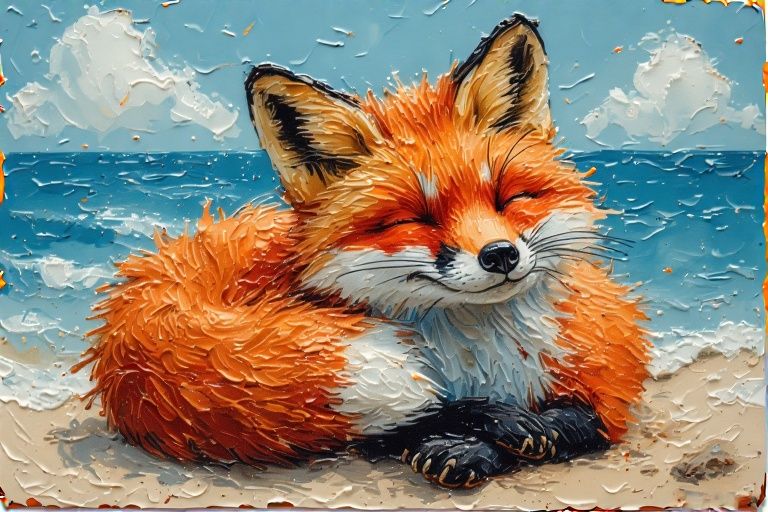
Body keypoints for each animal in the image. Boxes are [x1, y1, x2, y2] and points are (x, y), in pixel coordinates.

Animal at [75, 14, 650, 489]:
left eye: (509, 198)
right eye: (413, 219)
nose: (500, 256)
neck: (478, 360)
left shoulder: (604, 351)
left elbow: (584, 417)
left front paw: (526, 432)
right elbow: (403, 425)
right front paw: (474, 439)